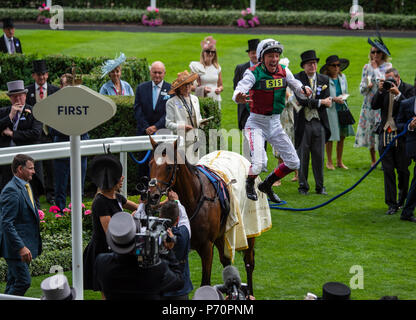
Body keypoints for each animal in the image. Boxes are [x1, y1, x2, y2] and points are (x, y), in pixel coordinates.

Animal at [146, 136, 256, 294]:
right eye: (150, 164)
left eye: (168, 167)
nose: (152, 195)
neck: (195, 197)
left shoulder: (206, 246)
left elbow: (205, 283)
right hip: (221, 234)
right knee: (226, 262)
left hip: (250, 230)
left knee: (249, 262)